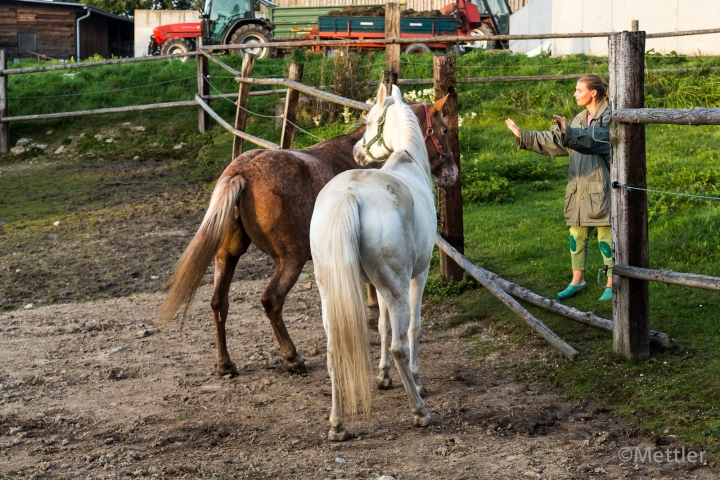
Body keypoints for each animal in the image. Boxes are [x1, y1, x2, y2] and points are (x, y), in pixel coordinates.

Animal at [158, 96, 456, 376]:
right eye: (444, 129)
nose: (451, 172)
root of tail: (242, 173)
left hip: (228, 255)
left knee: (219, 302)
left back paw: (225, 363)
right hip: (291, 260)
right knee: (271, 301)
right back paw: (292, 357)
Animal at [308, 84, 456, 440]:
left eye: (370, 119)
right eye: (444, 130)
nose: (358, 152)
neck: (407, 160)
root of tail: (349, 195)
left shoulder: (377, 284)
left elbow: (382, 325)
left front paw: (383, 376)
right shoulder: (417, 276)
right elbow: (413, 328)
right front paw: (416, 380)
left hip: (331, 290)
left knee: (334, 350)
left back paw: (337, 425)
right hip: (399, 286)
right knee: (400, 346)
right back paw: (420, 411)